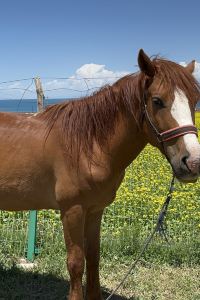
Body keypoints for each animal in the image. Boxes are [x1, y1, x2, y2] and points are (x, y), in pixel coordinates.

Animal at [0, 49, 200, 298]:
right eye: (157, 101)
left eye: (194, 100)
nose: (193, 162)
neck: (89, 145)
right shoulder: (72, 211)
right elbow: (76, 263)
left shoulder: (95, 210)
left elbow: (93, 257)